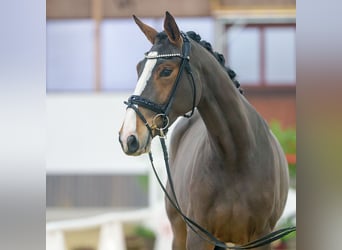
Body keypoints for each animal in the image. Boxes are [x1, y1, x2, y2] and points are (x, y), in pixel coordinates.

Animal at [119, 10, 290, 249]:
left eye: (166, 70)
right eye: (138, 68)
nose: (129, 137)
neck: (237, 157)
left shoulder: (262, 238)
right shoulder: (198, 235)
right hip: (179, 231)